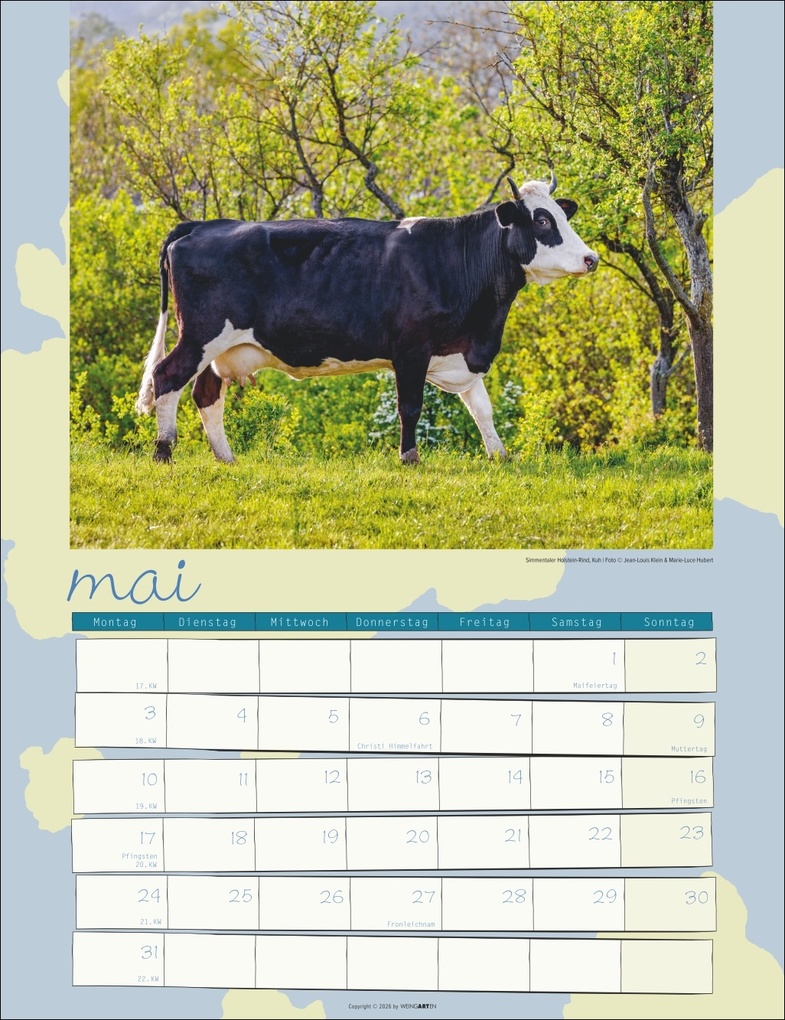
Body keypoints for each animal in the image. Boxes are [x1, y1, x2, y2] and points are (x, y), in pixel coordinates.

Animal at [136, 174, 598, 464]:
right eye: (542, 220)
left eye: (563, 214)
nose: (591, 258)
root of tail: (200, 225)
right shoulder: (411, 349)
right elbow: (410, 406)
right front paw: (409, 457)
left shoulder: (461, 352)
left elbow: (482, 409)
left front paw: (499, 455)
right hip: (200, 334)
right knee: (166, 377)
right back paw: (163, 451)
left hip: (224, 348)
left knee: (206, 393)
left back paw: (227, 458)